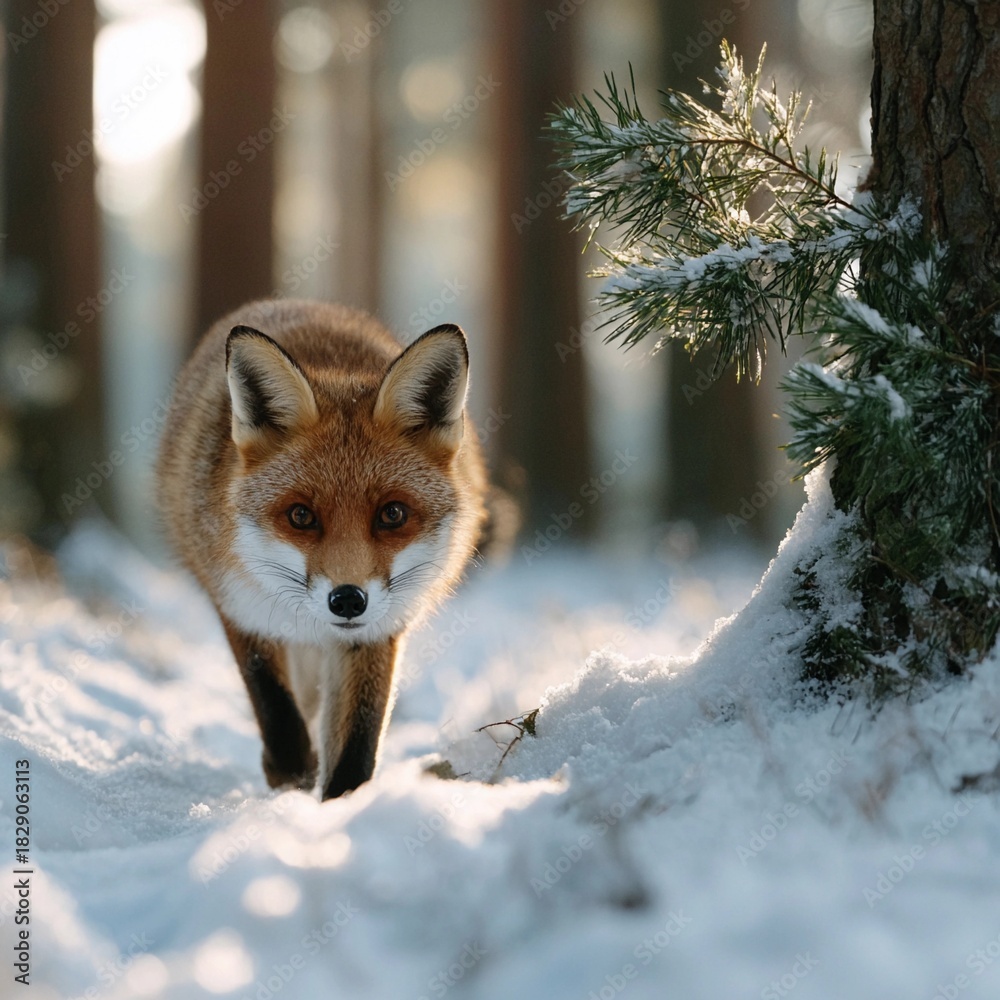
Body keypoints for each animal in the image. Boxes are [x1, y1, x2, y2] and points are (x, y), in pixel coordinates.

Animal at [156, 299, 489, 800]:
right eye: (301, 516)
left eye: (392, 514)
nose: (348, 600)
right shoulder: (239, 607)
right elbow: (276, 709)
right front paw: (291, 778)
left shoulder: (378, 631)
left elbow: (357, 745)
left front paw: (341, 806)